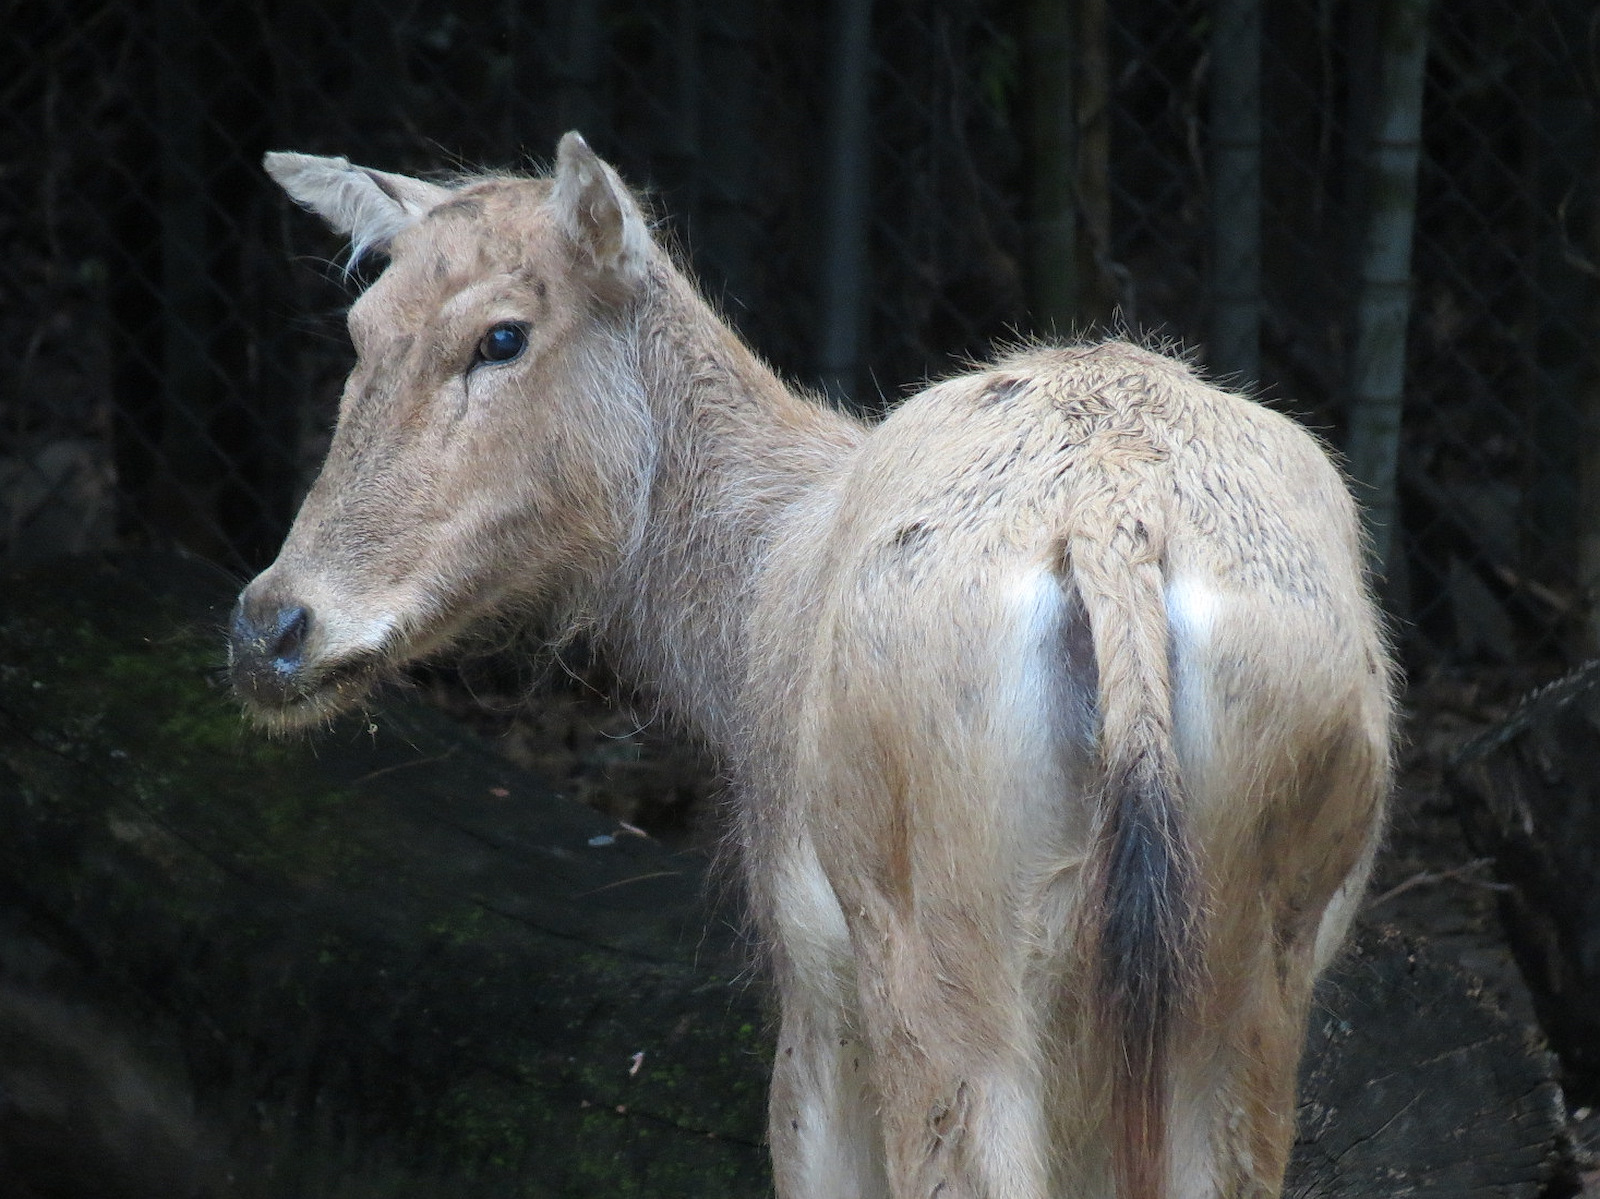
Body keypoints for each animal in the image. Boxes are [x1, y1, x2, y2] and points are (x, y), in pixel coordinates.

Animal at [229, 132, 1394, 1199]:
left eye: (501, 335)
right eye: (360, 328)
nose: (269, 625)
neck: (741, 621)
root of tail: (1116, 529)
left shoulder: (811, 974)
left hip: (935, 948)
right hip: (1248, 974)